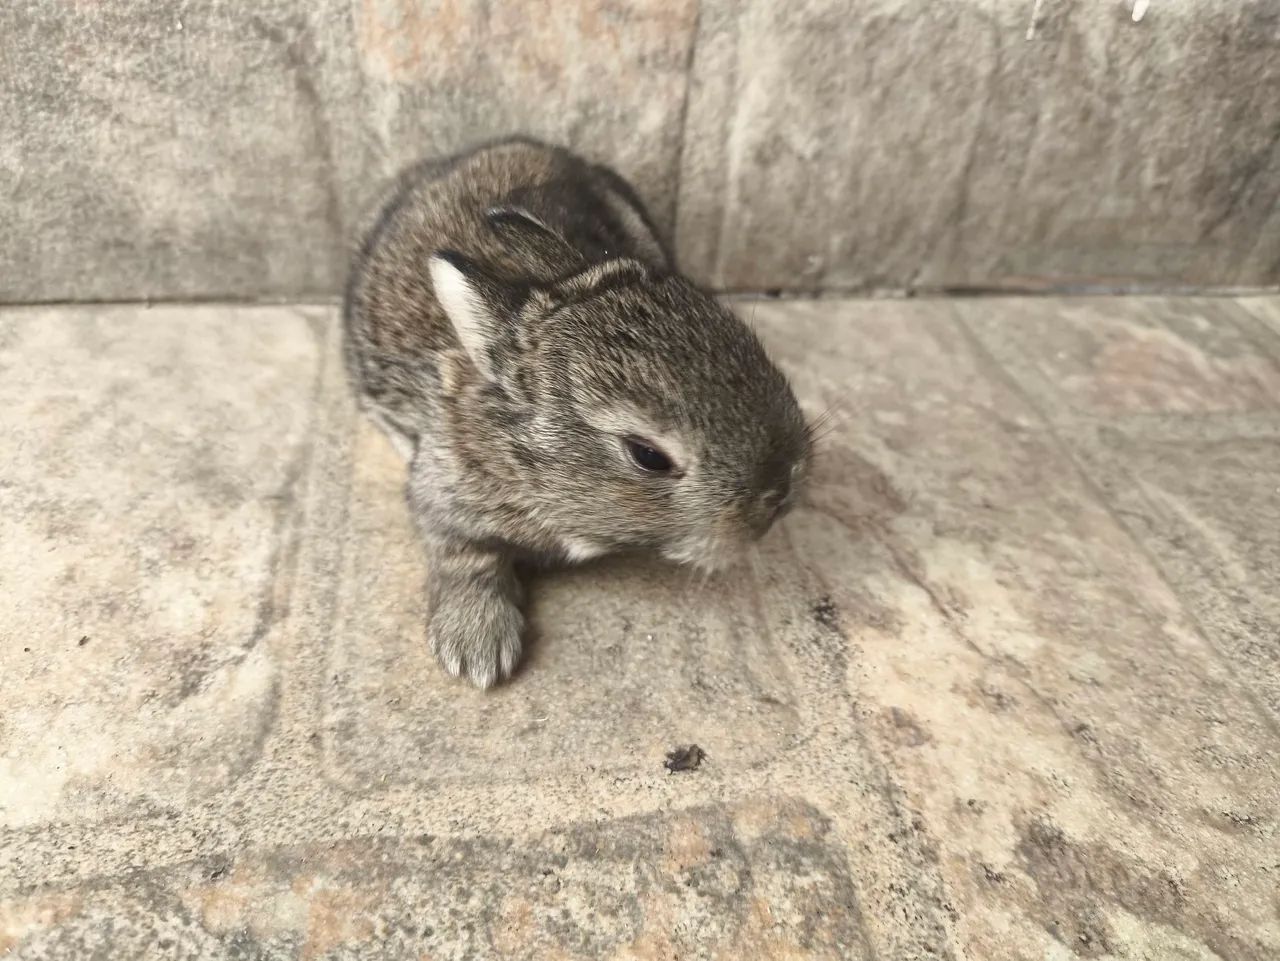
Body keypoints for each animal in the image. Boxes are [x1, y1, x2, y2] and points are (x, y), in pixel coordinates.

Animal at [343, 137, 812, 688]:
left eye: (746, 342)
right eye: (647, 455)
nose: (782, 491)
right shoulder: (443, 494)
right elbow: (465, 556)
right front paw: (477, 648)